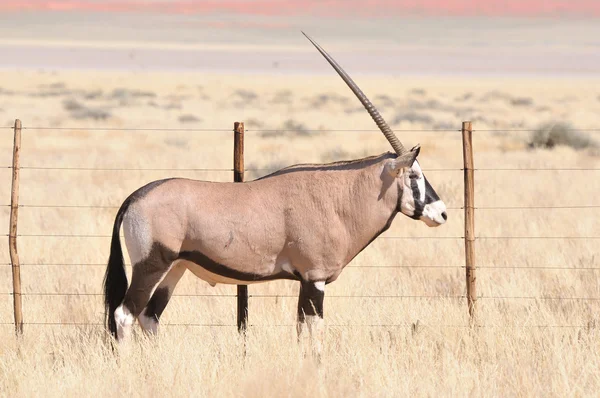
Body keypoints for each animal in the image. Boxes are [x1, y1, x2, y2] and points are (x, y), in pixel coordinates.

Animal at [104, 33, 446, 352]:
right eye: (414, 175)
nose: (441, 212)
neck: (340, 199)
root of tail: (136, 197)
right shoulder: (314, 278)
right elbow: (314, 330)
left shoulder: (306, 281)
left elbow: (300, 329)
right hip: (152, 265)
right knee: (125, 314)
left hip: (174, 269)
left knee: (149, 316)